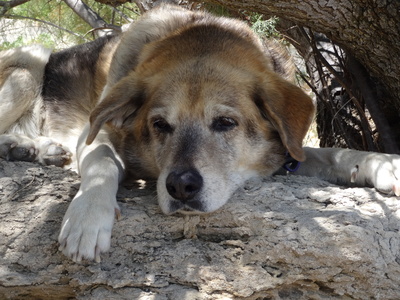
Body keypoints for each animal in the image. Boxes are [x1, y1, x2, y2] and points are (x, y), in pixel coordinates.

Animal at [2, 5, 400, 262]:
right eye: (160, 125)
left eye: (225, 123)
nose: (180, 187)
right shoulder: (95, 131)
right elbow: (102, 161)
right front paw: (87, 215)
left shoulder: (289, 151)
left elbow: (331, 152)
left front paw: (382, 164)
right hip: (30, 63)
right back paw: (23, 146)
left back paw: (34, 148)